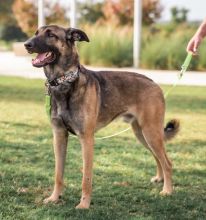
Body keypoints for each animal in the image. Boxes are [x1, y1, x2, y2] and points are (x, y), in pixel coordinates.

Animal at [23, 24, 179, 209]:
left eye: (51, 35)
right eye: (36, 33)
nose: (26, 44)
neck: (64, 81)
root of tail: (154, 83)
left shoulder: (87, 139)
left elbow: (86, 178)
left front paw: (84, 205)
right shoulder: (59, 136)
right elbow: (58, 174)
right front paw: (55, 198)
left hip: (150, 132)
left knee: (167, 162)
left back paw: (167, 190)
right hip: (142, 134)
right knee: (158, 157)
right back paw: (160, 179)